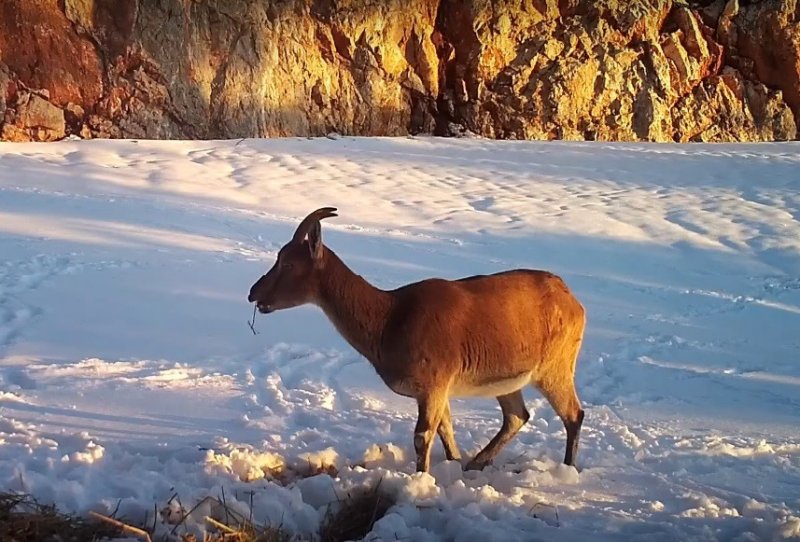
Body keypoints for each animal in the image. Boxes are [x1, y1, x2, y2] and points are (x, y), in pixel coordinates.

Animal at [250, 208, 588, 472]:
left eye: (288, 263)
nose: (254, 293)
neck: (390, 318)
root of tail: (574, 302)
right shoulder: (438, 388)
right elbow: (445, 428)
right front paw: (453, 464)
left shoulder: (434, 382)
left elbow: (422, 435)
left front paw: (421, 479)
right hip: (508, 379)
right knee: (517, 416)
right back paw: (476, 463)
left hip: (554, 366)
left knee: (573, 414)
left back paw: (568, 469)